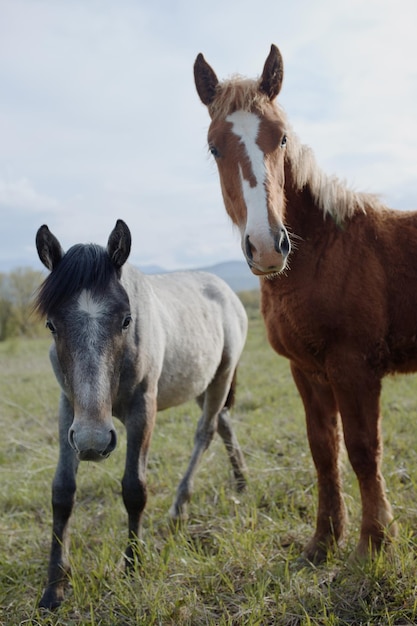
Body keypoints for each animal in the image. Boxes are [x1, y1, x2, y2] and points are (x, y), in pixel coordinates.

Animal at [35, 218, 247, 604]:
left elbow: (134, 488)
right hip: (201, 382)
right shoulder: (68, 412)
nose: (93, 441)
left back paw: (180, 508)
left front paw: (132, 565)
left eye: (126, 320)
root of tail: (226, 290)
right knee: (224, 424)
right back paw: (241, 481)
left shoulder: (142, 410)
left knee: (206, 431)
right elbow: (62, 492)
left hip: (221, 376)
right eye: (51, 324)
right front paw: (55, 585)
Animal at [193, 42, 416, 560]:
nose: (267, 247)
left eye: (281, 139)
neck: (326, 251)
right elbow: (323, 450)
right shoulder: (307, 370)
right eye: (214, 147)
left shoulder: (354, 367)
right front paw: (325, 539)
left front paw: (374, 541)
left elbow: (362, 449)